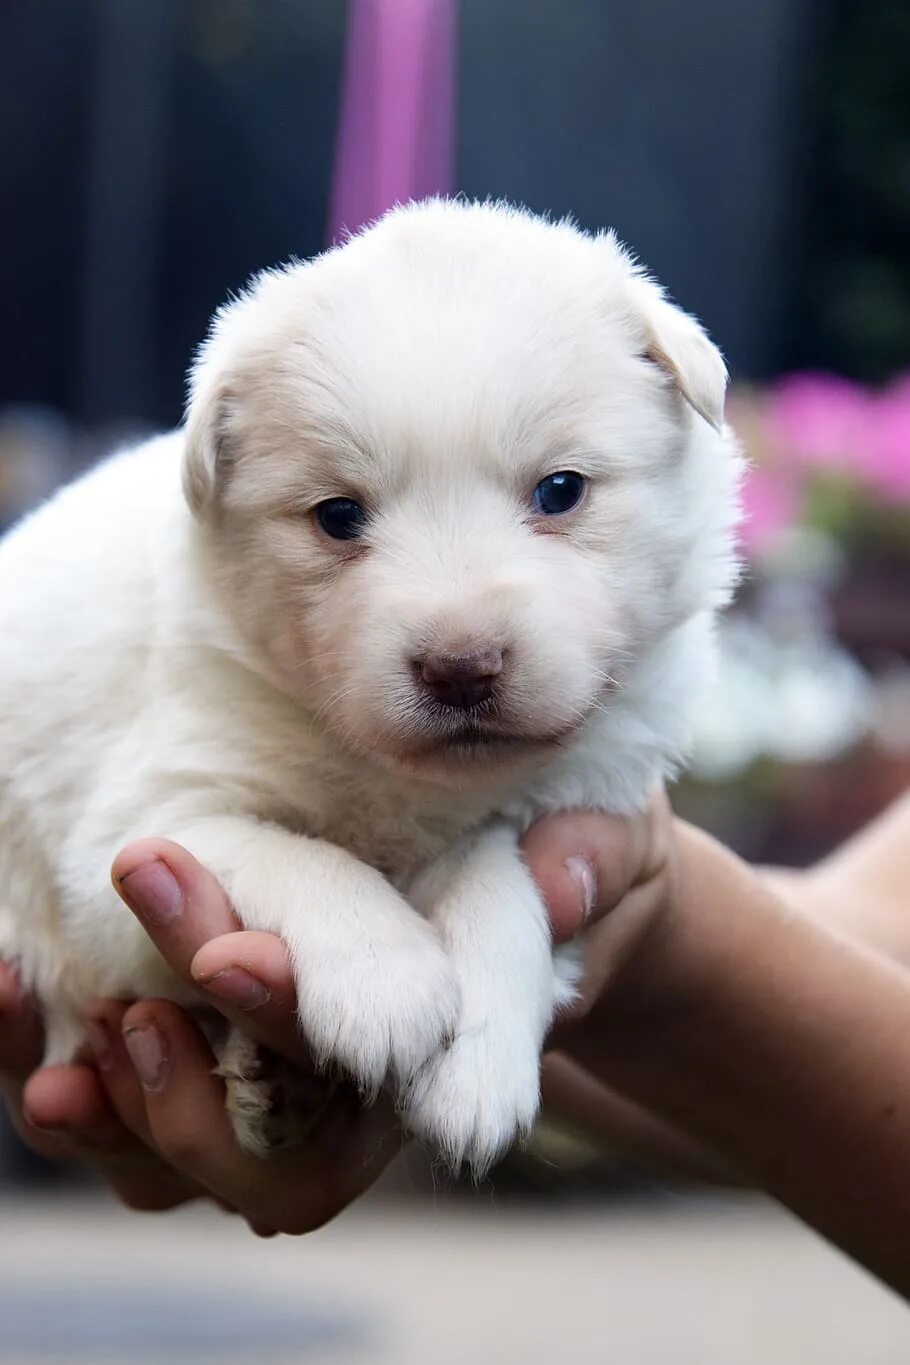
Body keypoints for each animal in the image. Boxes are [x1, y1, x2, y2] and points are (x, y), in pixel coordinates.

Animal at [0, 199, 742, 1173]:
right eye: (338, 516)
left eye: (560, 490)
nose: (461, 668)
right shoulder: (136, 834)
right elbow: (297, 854)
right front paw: (386, 981)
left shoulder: (556, 811)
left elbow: (497, 884)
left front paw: (478, 1066)